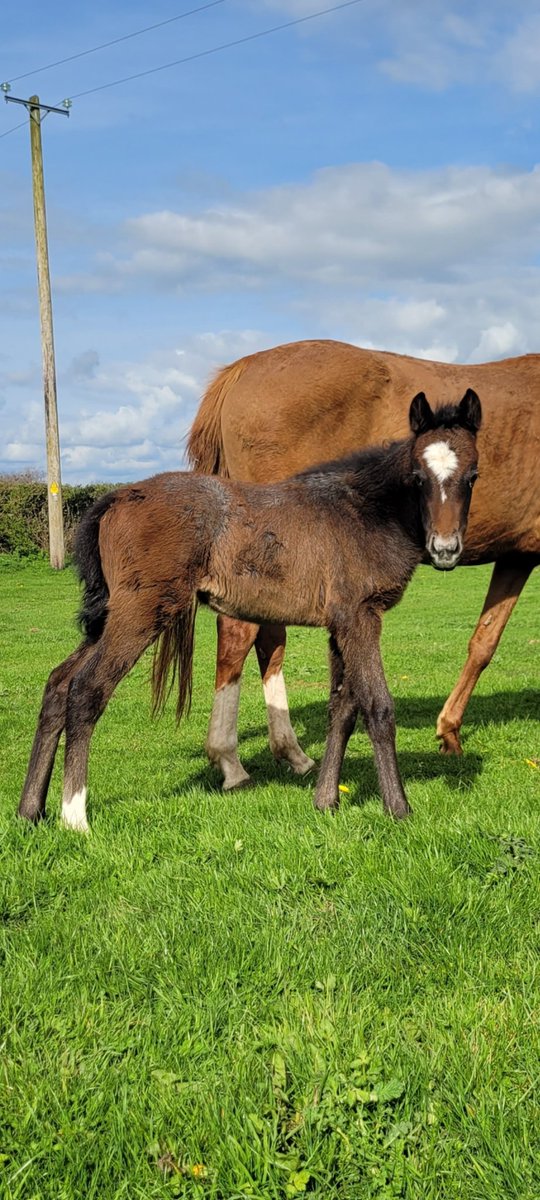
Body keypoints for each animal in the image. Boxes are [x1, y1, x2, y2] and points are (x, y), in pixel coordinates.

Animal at [19, 390, 481, 833]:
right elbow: (377, 706)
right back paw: (74, 818)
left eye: (472, 476)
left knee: (58, 683)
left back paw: (30, 811)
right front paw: (399, 809)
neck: (365, 510)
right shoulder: (361, 617)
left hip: (109, 619)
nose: (445, 549)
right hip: (141, 613)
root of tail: (114, 498)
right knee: (87, 689)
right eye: (417, 477)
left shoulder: (341, 623)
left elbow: (342, 708)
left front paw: (325, 800)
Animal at [188, 339, 539, 790]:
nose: (445, 549)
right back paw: (230, 760)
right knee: (238, 632)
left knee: (269, 638)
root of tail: (242, 368)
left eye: (475, 475)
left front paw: (449, 732)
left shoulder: (517, 556)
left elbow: (484, 641)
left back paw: (291, 752)